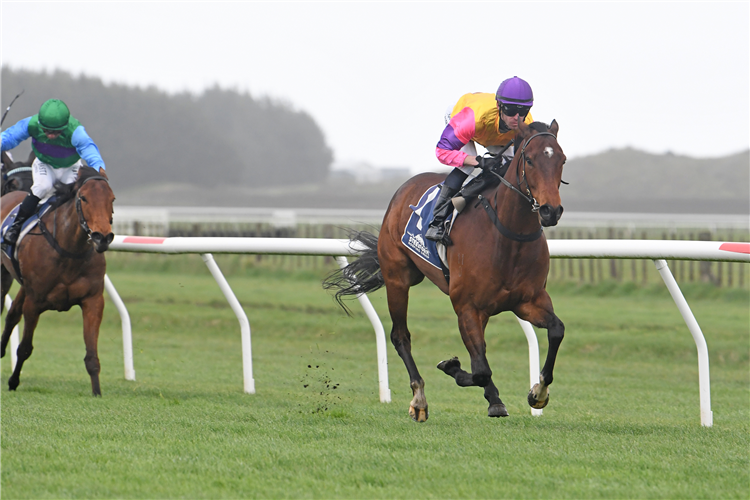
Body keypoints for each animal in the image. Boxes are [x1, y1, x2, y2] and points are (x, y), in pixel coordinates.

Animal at [0, 166, 114, 396]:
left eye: (112, 198)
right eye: (83, 198)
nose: (102, 237)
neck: (69, 249)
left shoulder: (93, 301)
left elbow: (92, 355)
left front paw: (97, 393)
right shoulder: (34, 302)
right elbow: (24, 348)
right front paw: (13, 381)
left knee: (12, 314)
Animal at [326, 121, 568, 422]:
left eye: (561, 160)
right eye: (531, 160)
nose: (550, 211)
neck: (509, 237)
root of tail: (404, 188)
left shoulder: (528, 301)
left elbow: (556, 330)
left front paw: (538, 393)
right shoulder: (466, 307)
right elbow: (480, 369)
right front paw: (451, 366)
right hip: (398, 278)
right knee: (400, 336)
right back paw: (419, 398)